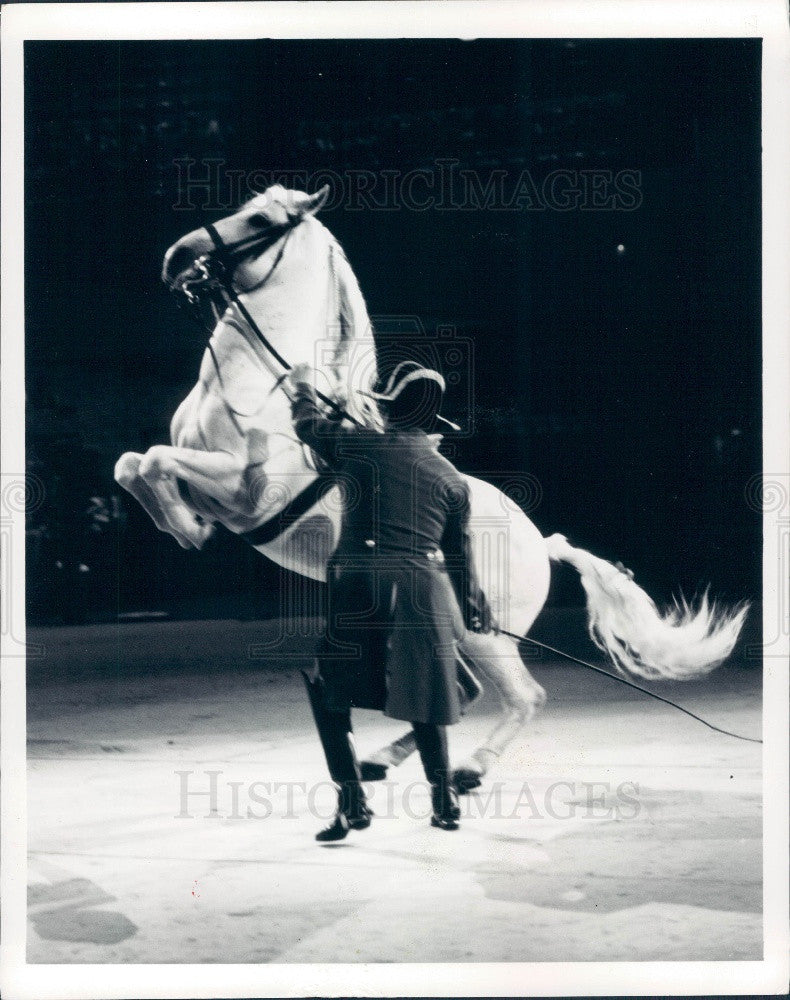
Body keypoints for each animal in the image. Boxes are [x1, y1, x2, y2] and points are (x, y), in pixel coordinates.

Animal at [114, 184, 752, 784]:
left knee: (523, 696)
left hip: (483, 634)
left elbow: (154, 464)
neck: (257, 388)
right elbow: (133, 464)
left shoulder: (245, 492)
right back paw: (381, 760)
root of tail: (542, 546)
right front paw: (186, 525)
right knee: (466, 693)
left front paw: (185, 528)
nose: (177, 258)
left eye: (260, 220)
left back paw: (468, 770)